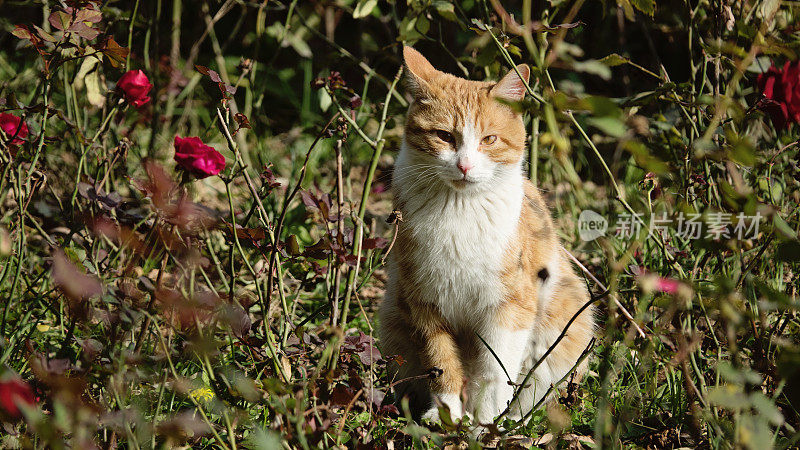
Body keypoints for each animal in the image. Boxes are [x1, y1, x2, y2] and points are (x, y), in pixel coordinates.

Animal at [378, 47, 596, 424]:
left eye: (489, 139)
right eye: (444, 136)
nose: (464, 166)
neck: (458, 211)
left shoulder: (509, 307)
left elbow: (495, 371)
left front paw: (485, 423)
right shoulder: (423, 302)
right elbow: (441, 362)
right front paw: (449, 415)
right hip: (393, 318)